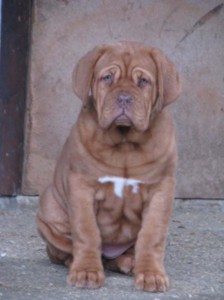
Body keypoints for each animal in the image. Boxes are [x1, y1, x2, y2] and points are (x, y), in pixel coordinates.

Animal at [36, 41, 180, 292]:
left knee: (122, 254)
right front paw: (86, 271)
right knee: (65, 251)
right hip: (49, 213)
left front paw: (151, 274)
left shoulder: (161, 190)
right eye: (107, 78)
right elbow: (87, 231)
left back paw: (128, 262)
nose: (123, 98)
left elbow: (151, 236)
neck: (124, 144)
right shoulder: (81, 187)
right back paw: (76, 262)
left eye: (143, 81)